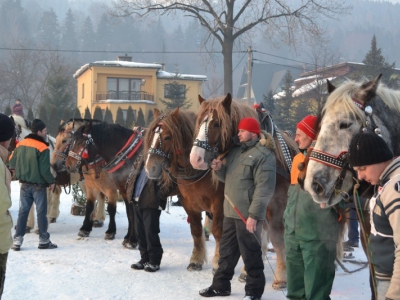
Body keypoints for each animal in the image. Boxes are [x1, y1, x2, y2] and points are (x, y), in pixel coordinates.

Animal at [144, 108, 225, 272]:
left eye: (167, 137)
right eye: (151, 136)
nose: (150, 168)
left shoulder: (218, 204)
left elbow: (218, 232)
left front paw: (218, 261)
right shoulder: (189, 203)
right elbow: (196, 230)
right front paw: (196, 260)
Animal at [189, 94, 298, 288]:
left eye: (216, 124)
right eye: (200, 122)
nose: (196, 158)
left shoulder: (276, 208)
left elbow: (278, 240)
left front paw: (281, 276)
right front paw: (247, 271)